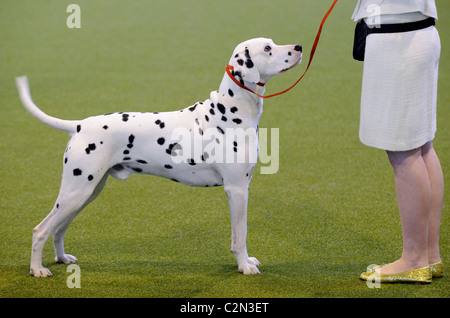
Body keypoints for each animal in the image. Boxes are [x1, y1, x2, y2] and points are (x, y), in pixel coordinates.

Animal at [15, 37, 302, 278]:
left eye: (273, 42)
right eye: (267, 48)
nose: (299, 47)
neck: (231, 111)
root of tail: (79, 125)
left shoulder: (239, 189)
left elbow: (235, 236)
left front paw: (245, 262)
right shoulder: (237, 189)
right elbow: (240, 236)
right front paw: (244, 266)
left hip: (87, 193)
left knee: (58, 229)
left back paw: (62, 259)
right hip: (75, 193)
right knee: (41, 230)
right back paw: (37, 269)